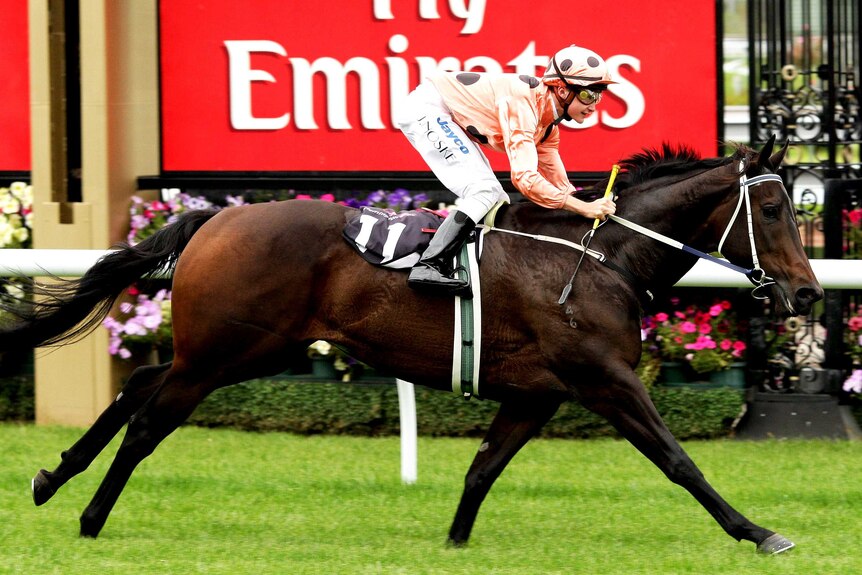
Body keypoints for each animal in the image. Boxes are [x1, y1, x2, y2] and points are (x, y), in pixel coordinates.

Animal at [0, 136, 824, 552]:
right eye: (774, 209)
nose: (810, 292)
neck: (600, 256)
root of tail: (215, 217)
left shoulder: (537, 392)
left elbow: (483, 468)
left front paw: (454, 542)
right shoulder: (605, 378)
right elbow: (679, 460)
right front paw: (759, 531)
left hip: (233, 351)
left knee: (139, 389)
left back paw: (50, 477)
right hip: (229, 352)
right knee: (147, 420)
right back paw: (89, 517)